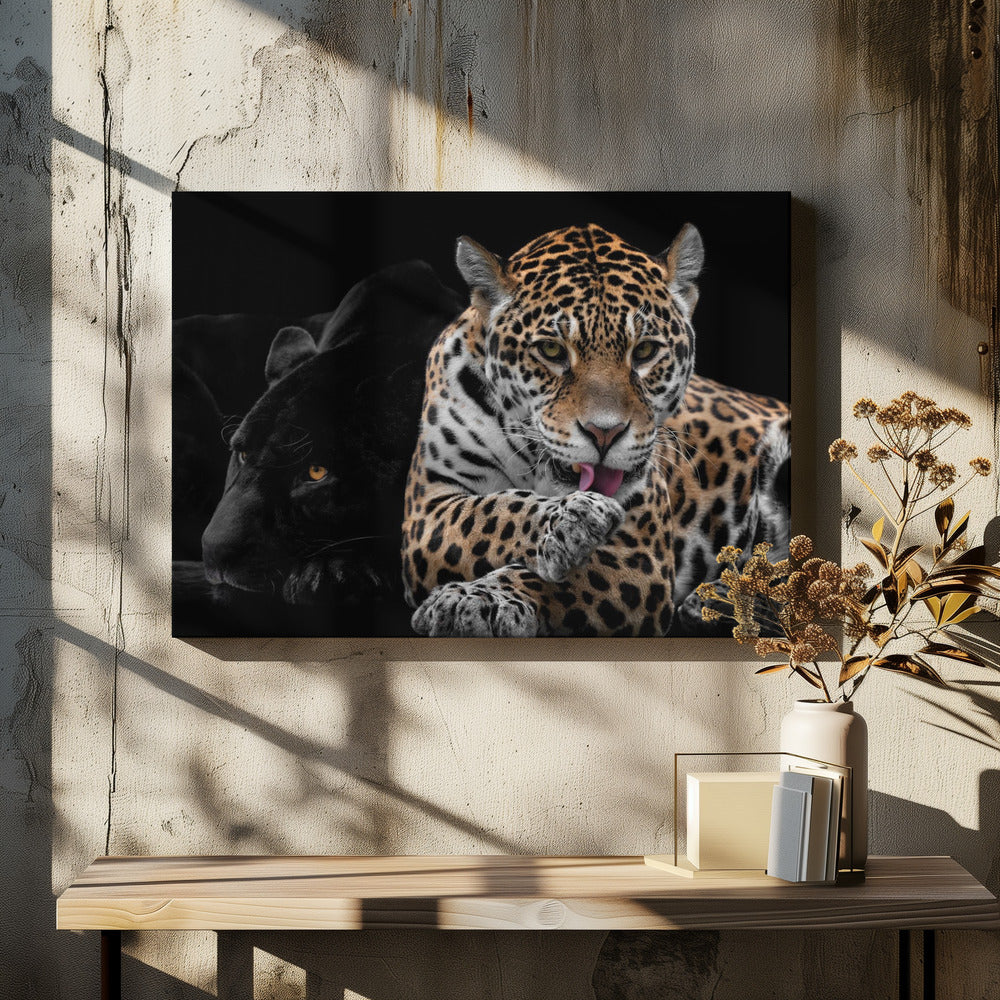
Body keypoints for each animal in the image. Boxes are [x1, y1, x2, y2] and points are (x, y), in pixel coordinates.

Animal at [401, 222, 790, 637]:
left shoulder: (639, 556)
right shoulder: (426, 508)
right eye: (551, 351)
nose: (605, 432)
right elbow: (491, 511)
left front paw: (478, 597)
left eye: (645, 351)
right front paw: (571, 522)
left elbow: (552, 579)